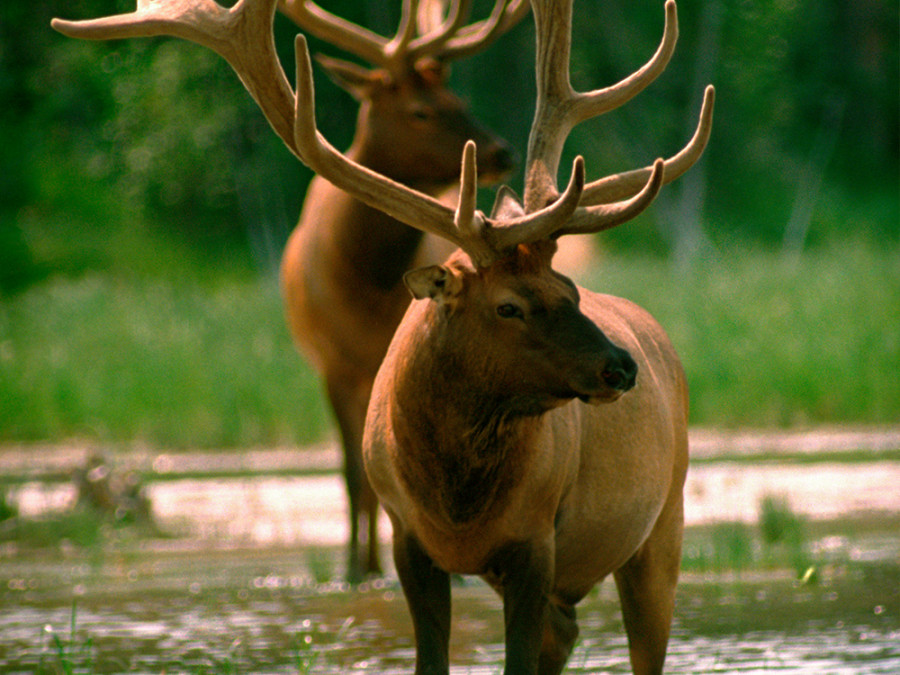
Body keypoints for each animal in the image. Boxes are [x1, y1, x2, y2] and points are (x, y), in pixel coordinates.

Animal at [54, 0, 716, 672]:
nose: (621, 366)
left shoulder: (535, 541)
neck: (455, 504)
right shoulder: (411, 539)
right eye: (508, 306)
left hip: (665, 523)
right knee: (567, 632)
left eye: (570, 289)